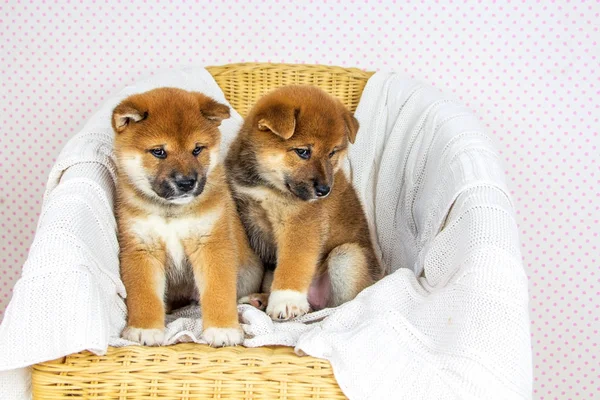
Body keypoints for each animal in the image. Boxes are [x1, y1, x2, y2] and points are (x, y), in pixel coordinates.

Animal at [112, 88, 262, 346]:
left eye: (197, 149)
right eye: (159, 151)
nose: (186, 182)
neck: (172, 211)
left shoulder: (211, 244)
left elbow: (218, 291)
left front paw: (222, 328)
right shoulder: (142, 248)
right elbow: (144, 294)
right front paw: (144, 329)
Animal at [225, 86, 384, 320]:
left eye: (332, 153)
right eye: (303, 152)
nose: (324, 191)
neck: (267, 185)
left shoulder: (300, 224)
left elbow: (293, 265)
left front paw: (286, 301)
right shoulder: (244, 209)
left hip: (347, 257)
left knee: (338, 304)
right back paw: (260, 299)